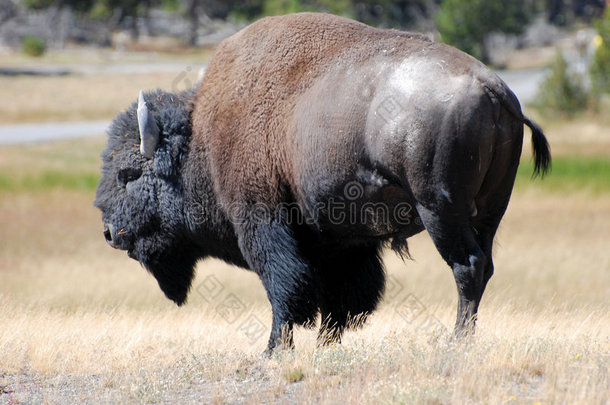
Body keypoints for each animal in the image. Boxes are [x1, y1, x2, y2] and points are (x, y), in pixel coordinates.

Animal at [94, 13, 548, 354]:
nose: (111, 233)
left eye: (129, 174)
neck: (201, 136)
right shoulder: (339, 242)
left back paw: (457, 342)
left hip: (440, 210)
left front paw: (273, 350)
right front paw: (327, 345)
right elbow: (343, 297)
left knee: (466, 266)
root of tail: (494, 88)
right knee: (484, 266)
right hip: (489, 212)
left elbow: (285, 287)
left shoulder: (262, 221)